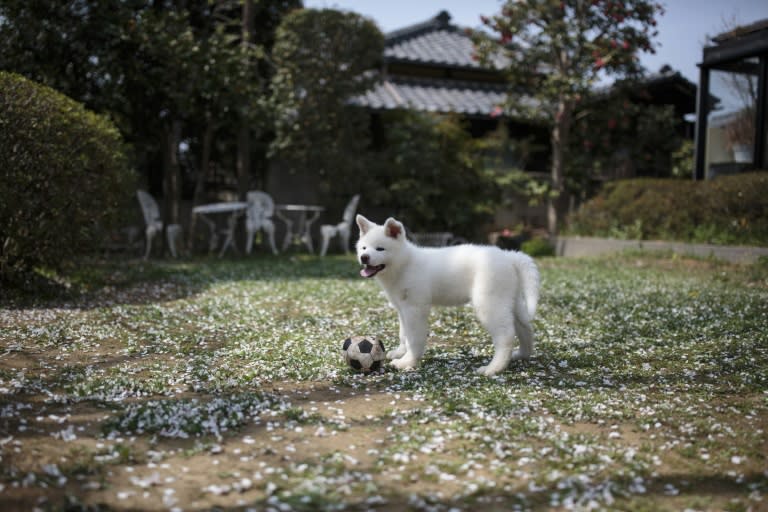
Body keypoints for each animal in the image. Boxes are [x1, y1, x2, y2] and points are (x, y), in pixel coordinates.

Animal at [356, 216, 540, 376]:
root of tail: (509, 257)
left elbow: (414, 338)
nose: (364, 257)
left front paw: (407, 362)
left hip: (489, 304)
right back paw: (522, 355)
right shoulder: (402, 309)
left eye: (380, 248)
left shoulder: (415, 309)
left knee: (506, 336)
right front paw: (400, 352)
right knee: (525, 327)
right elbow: (404, 334)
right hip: (510, 301)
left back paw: (493, 368)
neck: (404, 264)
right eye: (364, 248)